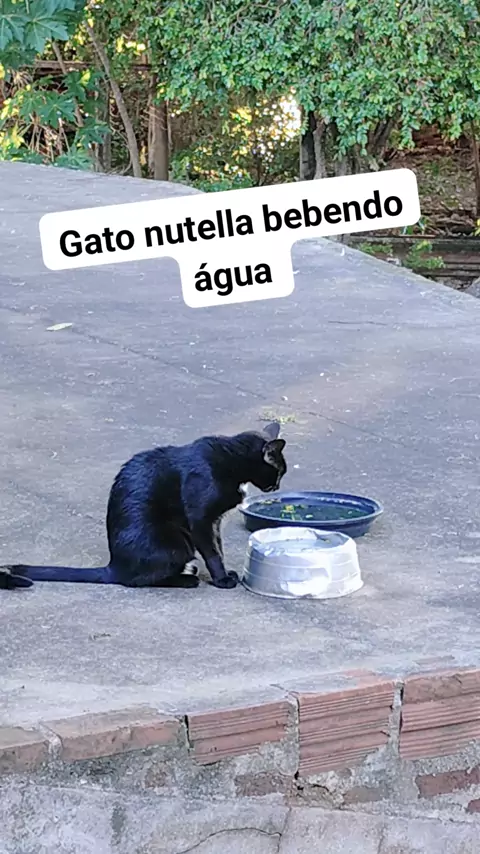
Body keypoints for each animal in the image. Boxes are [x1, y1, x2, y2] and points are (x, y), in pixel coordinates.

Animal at [0, 421, 287, 591]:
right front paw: (222, 579)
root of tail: (114, 566)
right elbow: (213, 552)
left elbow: (218, 547)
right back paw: (186, 579)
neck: (231, 460)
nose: (277, 487)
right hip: (175, 541)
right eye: (279, 471)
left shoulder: (214, 521)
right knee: (137, 581)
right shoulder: (201, 519)